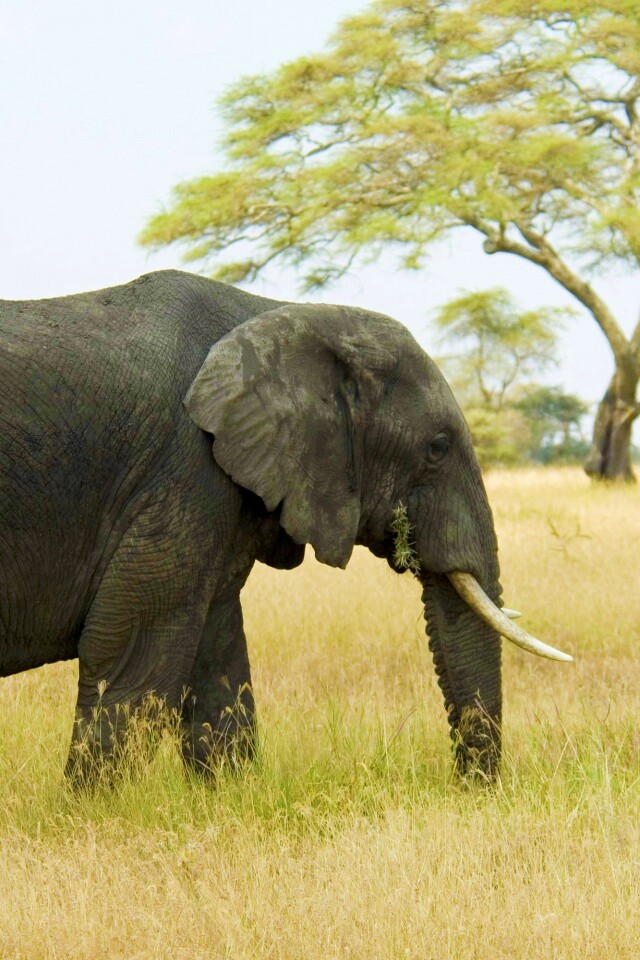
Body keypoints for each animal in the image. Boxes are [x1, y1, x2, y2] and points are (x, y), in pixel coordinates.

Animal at [0, 269, 571, 780]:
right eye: (436, 447)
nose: (468, 790)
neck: (283, 314)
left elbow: (218, 659)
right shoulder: (184, 471)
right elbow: (134, 656)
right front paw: (93, 811)